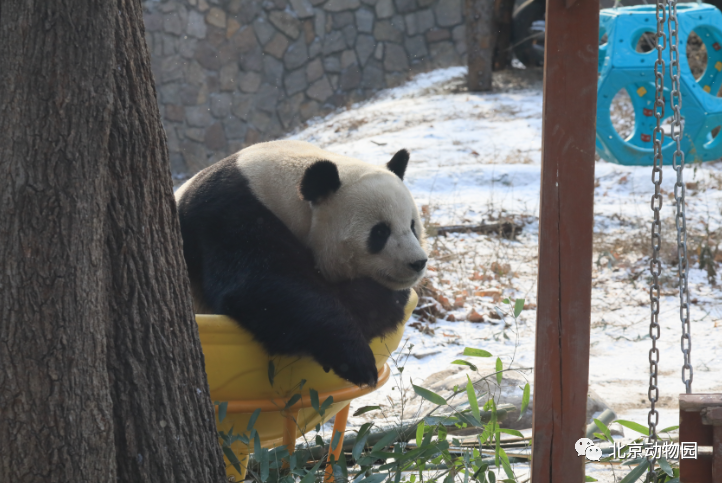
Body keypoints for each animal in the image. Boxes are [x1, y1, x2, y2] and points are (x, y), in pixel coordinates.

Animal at [175, 139, 424, 386]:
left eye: (412, 226)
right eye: (380, 232)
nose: (418, 263)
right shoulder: (228, 218)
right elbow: (268, 287)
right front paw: (356, 360)